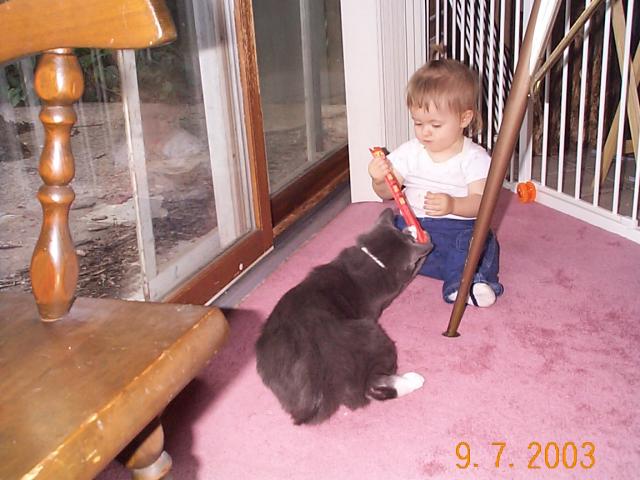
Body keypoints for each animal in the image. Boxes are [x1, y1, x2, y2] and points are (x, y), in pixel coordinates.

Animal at [255, 208, 433, 425]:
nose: (410, 229)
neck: (372, 256)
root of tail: (315, 392)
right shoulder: (399, 283)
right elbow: (417, 266)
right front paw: (424, 238)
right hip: (371, 332)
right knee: (373, 385)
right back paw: (414, 379)